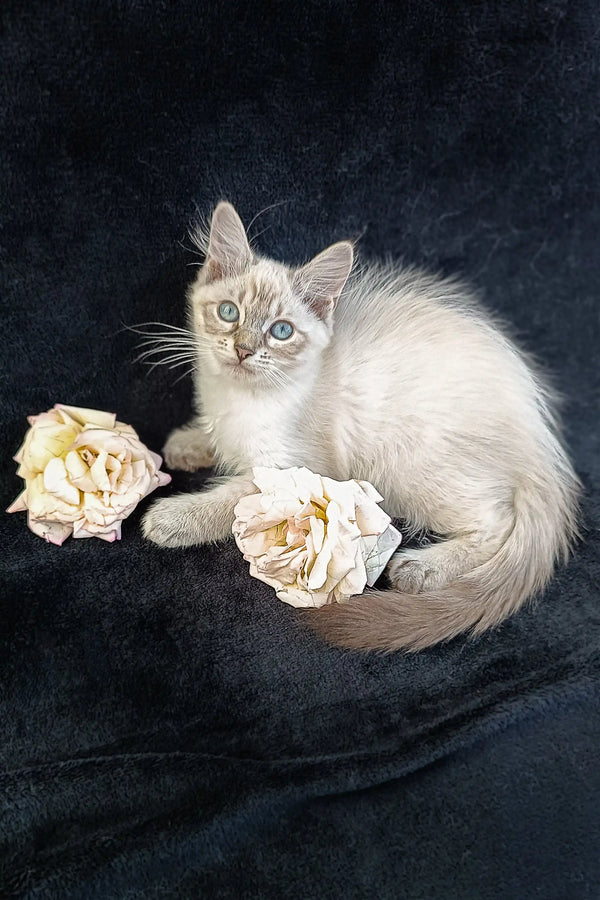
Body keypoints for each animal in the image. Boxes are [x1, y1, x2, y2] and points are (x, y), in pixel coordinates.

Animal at [142, 202, 580, 652]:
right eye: (229, 312)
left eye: (281, 331)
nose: (244, 350)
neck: (241, 399)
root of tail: (539, 440)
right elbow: (214, 439)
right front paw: (186, 444)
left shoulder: (297, 471)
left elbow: (228, 501)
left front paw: (171, 520)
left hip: (410, 463)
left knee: (498, 521)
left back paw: (422, 569)